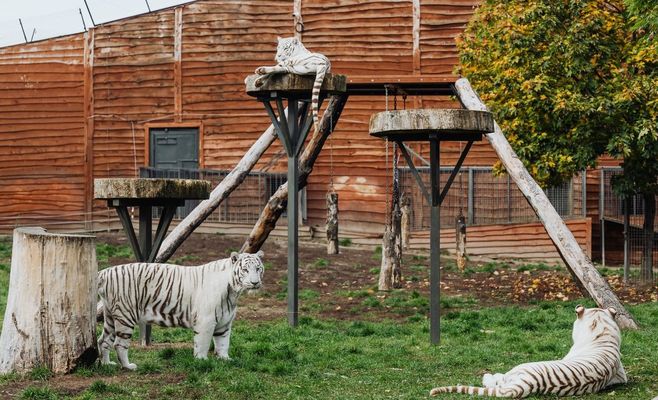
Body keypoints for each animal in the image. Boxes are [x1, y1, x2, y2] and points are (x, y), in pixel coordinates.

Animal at [97, 251, 264, 370]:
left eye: (258, 269)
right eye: (245, 270)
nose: (255, 283)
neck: (233, 292)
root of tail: (104, 272)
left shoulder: (224, 322)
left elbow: (223, 342)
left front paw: (225, 359)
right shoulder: (206, 321)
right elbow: (202, 343)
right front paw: (202, 361)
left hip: (110, 315)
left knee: (103, 340)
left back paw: (107, 364)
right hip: (126, 315)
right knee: (119, 344)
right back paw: (128, 366)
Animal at [430, 305, 627, 398]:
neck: (602, 333)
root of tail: (528, 383)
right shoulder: (622, 375)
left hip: (518, 369)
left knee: (496, 382)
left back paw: (487, 376)